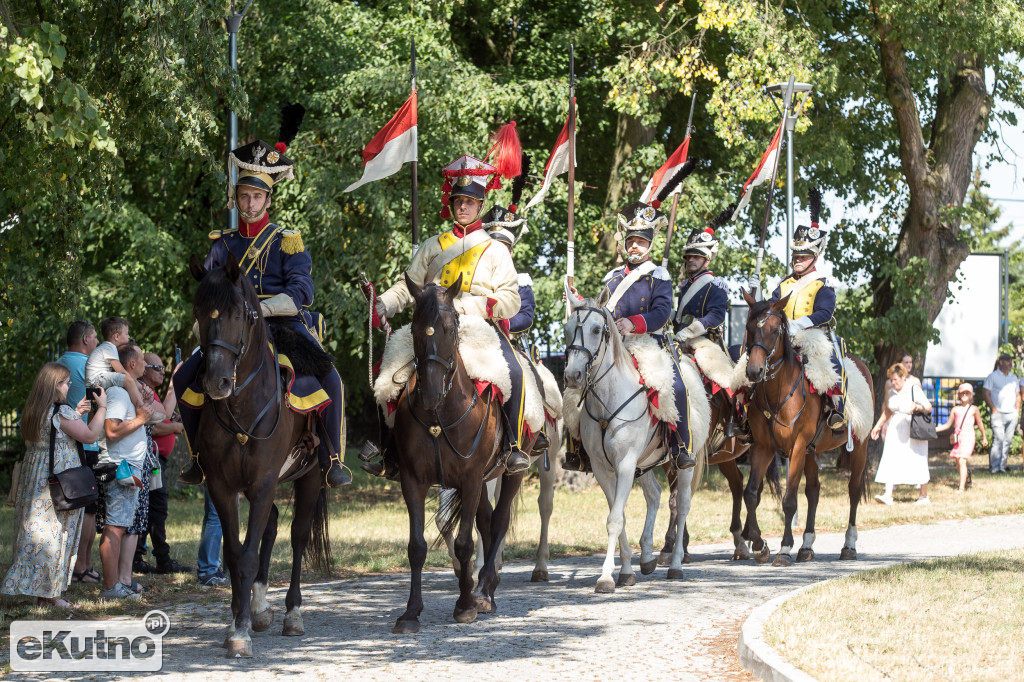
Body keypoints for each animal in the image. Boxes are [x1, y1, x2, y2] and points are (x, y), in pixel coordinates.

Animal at [190, 251, 333, 655]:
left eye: (238, 313)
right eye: (198, 310)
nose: (216, 382)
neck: (242, 405)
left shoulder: (265, 481)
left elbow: (249, 554)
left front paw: (240, 632)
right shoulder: (222, 486)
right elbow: (235, 553)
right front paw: (237, 622)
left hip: (310, 475)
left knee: (298, 534)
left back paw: (292, 614)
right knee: (271, 524)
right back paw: (259, 608)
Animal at [391, 272, 536, 630]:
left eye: (451, 327)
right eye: (415, 328)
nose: (429, 393)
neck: (439, 415)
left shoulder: (470, 479)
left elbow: (464, 542)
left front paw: (465, 605)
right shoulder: (413, 481)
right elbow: (417, 547)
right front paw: (411, 611)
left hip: (511, 472)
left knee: (498, 521)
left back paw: (484, 590)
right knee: (486, 521)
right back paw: (479, 585)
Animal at [561, 290, 712, 589]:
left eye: (596, 329)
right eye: (567, 329)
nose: (572, 375)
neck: (607, 398)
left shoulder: (626, 463)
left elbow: (614, 519)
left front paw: (606, 577)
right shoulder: (604, 468)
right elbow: (617, 516)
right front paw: (625, 570)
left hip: (681, 463)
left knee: (683, 505)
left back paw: (676, 564)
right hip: (644, 464)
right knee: (654, 495)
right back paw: (646, 557)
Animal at [737, 290, 872, 561]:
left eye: (775, 329)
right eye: (749, 327)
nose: (754, 371)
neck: (779, 392)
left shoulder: (797, 447)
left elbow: (789, 499)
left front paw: (784, 548)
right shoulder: (764, 448)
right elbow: (751, 494)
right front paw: (759, 544)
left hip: (859, 445)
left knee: (853, 490)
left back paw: (849, 545)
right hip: (813, 450)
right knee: (814, 491)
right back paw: (807, 545)